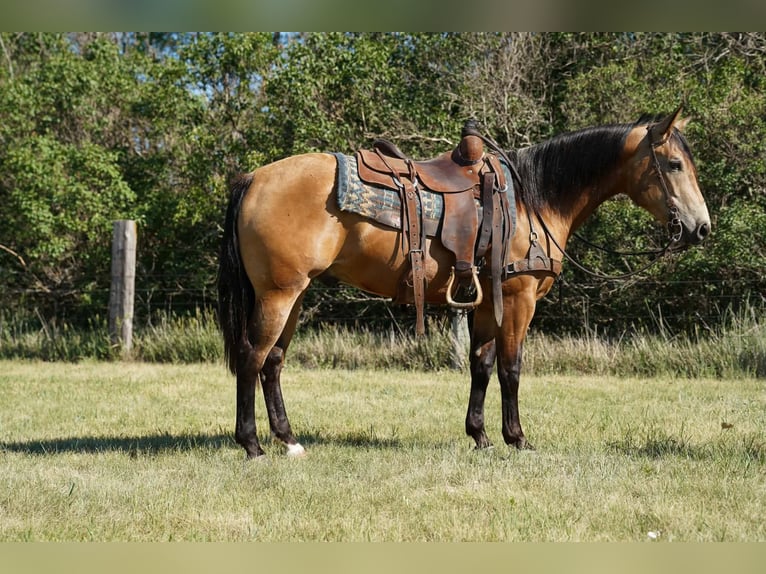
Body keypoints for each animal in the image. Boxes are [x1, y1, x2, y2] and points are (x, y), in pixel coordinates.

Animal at [217, 105, 711, 459]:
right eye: (673, 164)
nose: (702, 228)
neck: (533, 201)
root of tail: (253, 178)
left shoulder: (488, 302)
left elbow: (482, 364)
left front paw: (481, 436)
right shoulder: (518, 297)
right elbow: (511, 367)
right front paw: (518, 438)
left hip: (294, 295)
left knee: (273, 362)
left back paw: (288, 440)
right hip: (279, 295)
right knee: (251, 355)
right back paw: (252, 444)